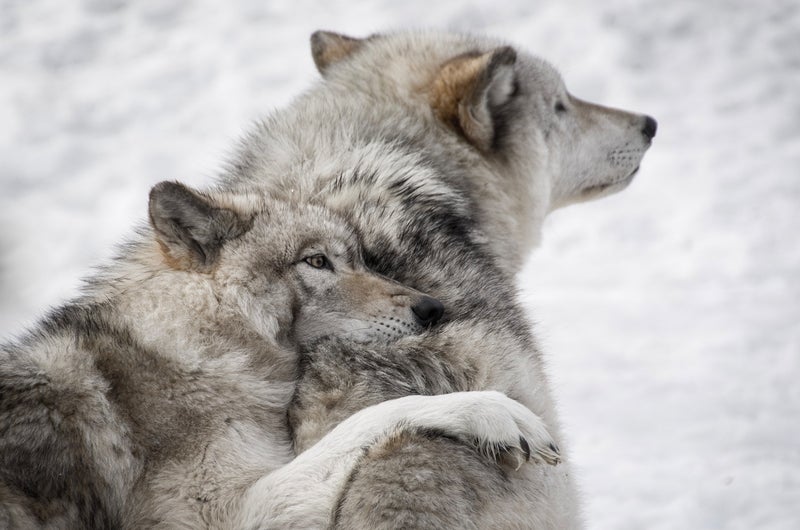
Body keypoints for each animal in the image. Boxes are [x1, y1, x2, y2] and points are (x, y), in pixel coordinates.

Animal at [0, 181, 561, 528]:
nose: (432, 308)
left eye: (360, 259)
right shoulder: (227, 514)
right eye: (317, 261)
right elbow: (374, 417)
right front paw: (493, 412)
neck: (195, 347)